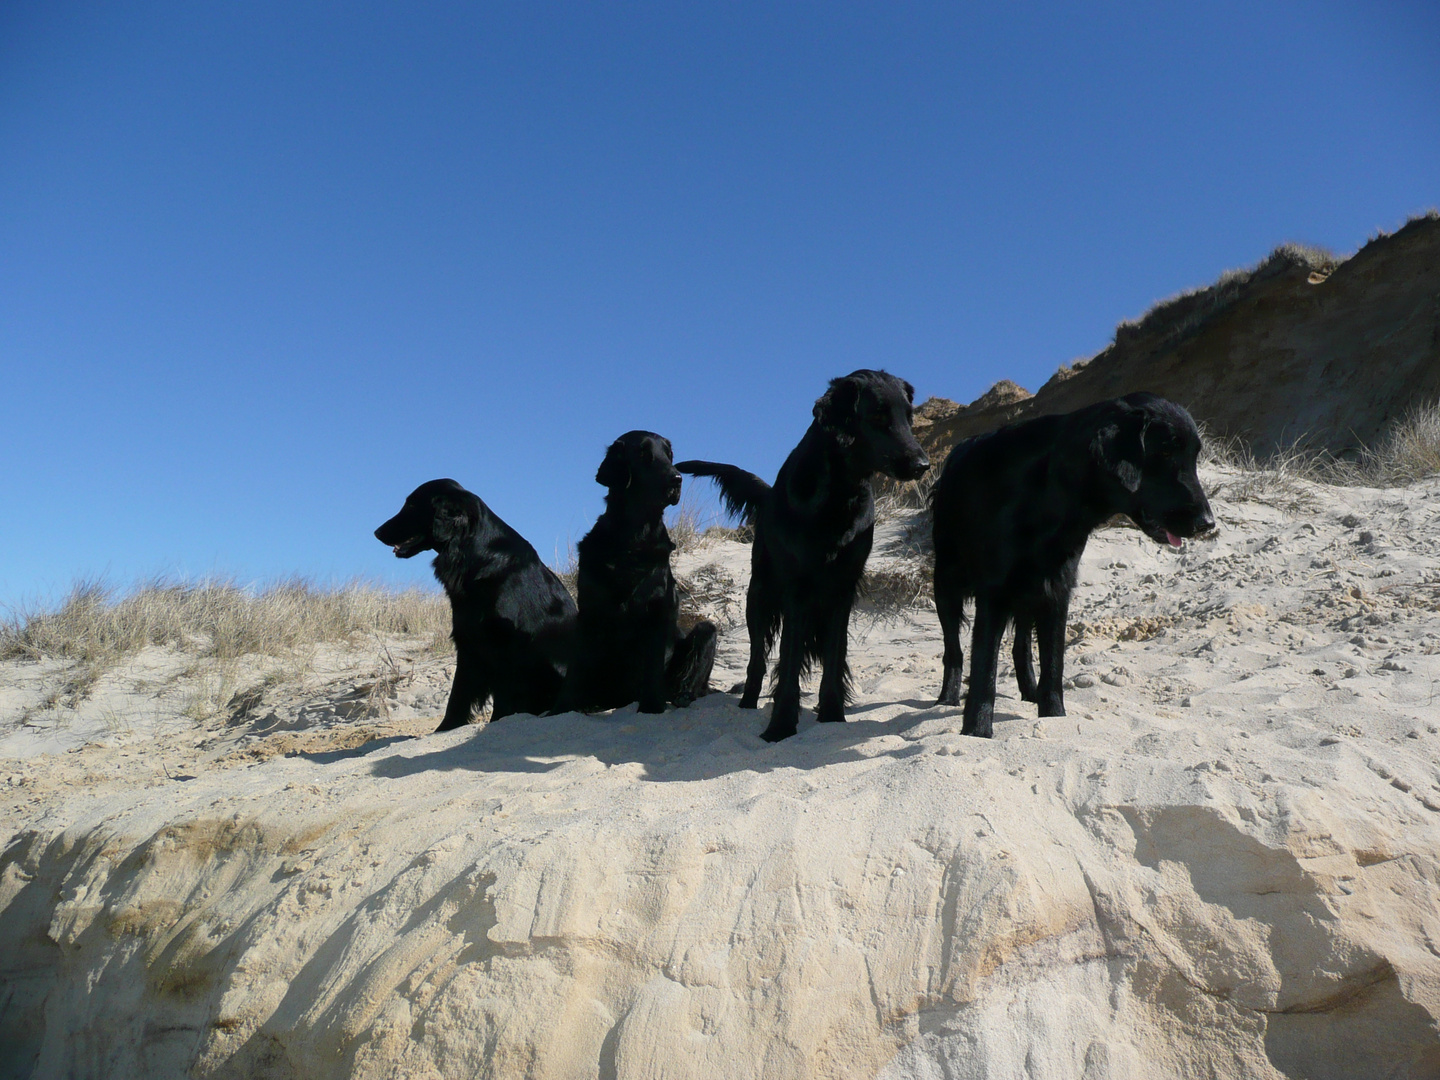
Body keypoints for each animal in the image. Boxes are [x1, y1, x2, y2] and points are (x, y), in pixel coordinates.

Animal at [374, 480, 576, 737]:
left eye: (411, 505)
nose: (377, 532)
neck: (474, 556)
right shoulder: (467, 640)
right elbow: (458, 695)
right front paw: (445, 729)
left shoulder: (505, 644)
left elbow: (503, 695)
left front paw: (498, 722)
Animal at [558, 432, 725, 720]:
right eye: (644, 455)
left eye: (669, 455)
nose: (676, 479)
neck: (633, 539)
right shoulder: (589, 609)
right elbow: (577, 666)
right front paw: (567, 708)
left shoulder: (657, 611)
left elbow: (652, 666)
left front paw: (652, 707)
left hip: (706, 631)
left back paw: (681, 697)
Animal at [676, 368, 927, 743]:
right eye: (878, 416)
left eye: (908, 418)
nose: (923, 464)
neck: (839, 494)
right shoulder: (796, 589)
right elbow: (789, 660)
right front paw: (780, 726)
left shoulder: (843, 590)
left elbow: (834, 658)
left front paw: (832, 716)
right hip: (760, 596)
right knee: (757, 660)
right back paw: (748, 704)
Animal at [933, 394, 1215, 743]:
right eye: (1164, 452)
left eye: (1192, 458)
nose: (1208, 524)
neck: (1047, 496)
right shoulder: (996, 592)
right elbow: (984, 668)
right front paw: (977, 730)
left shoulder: (1056, 588)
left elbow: (1054, 663)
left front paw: (1054, 716)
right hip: (946, 583)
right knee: (953, 650)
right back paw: (947, 696)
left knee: (1021, 647)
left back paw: (1029, 691)